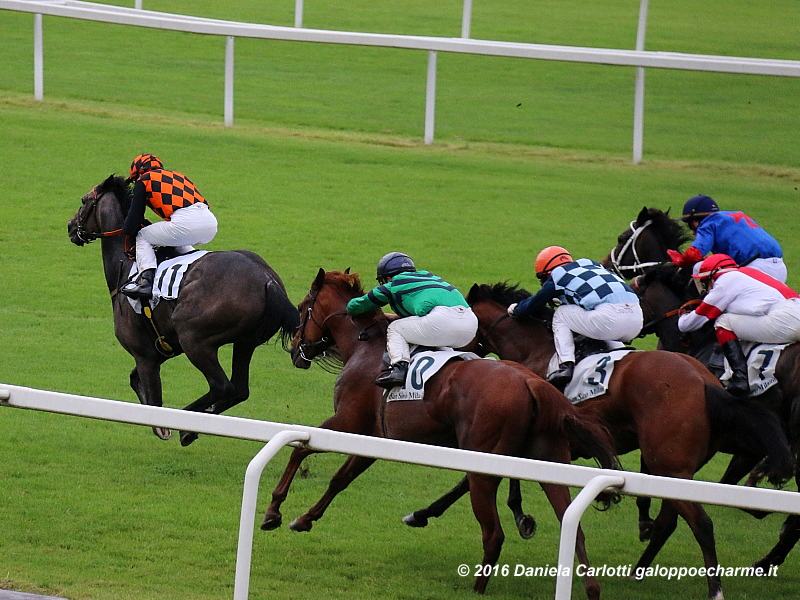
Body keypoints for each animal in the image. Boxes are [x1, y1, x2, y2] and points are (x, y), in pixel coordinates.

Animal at [67, 173, 300, 446]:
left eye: (84, 201)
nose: (70, 227)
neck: (126, 266)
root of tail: (268, 281)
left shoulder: (144, 355)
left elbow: (153, 403)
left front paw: (163, 427)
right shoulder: (160, 348)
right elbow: (135, 381)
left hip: (195, 339)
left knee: (223, 386)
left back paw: (186, 421)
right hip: (245, 342)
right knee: (240, 390)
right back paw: (191, 428)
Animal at [260, 270, 620, 596]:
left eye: (303, 306)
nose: (295, 347)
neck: (365, 348)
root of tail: (533, 383)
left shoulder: (348, 422)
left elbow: (301, 447)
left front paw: (273, 512)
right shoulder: (374, 437)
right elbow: (340, 479)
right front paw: (304, 519)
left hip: (484, 465)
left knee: (493, 534)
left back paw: (476, 588)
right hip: (548, 457)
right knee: (573, 527)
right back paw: (590, 588)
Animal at [412, 282, 788, 600]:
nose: (447, 352)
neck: (536, 350)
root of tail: (705, 380)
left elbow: (475, 479)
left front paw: (511, 516)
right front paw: (425, 513)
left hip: (668, 464)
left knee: (702, 524)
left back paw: (715, 589)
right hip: (676, 469)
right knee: (670, 522)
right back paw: (638, 571)